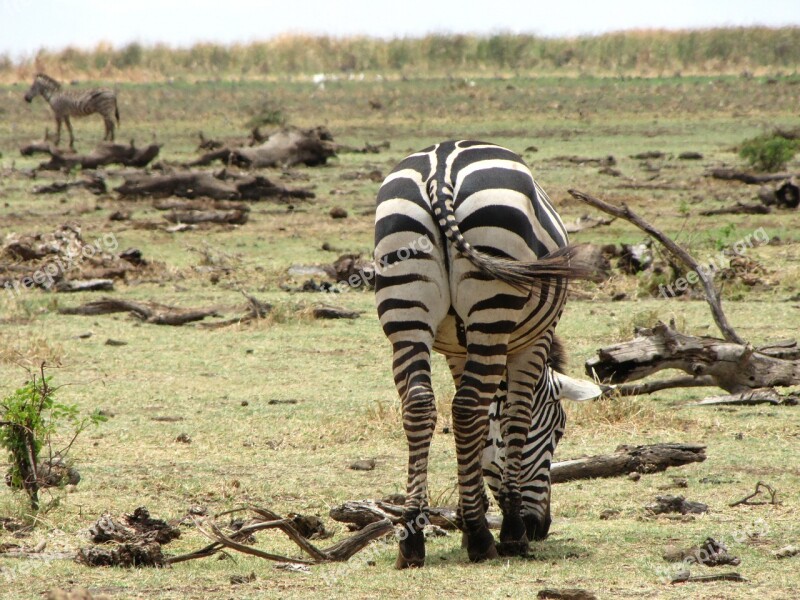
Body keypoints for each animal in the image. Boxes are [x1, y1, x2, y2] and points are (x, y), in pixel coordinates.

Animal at [372, 139, 592, 568]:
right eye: (559, 430)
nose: (541, 527)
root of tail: (441, 167)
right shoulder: (533, 342)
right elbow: (515, 418)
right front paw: (510, 530)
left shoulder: (457, 349)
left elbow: (475, 425)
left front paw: (464, 517)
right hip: (495, 300)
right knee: (468, 406)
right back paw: (481, 537)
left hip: (405, 305)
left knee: (424, 406)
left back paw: (413, 539)